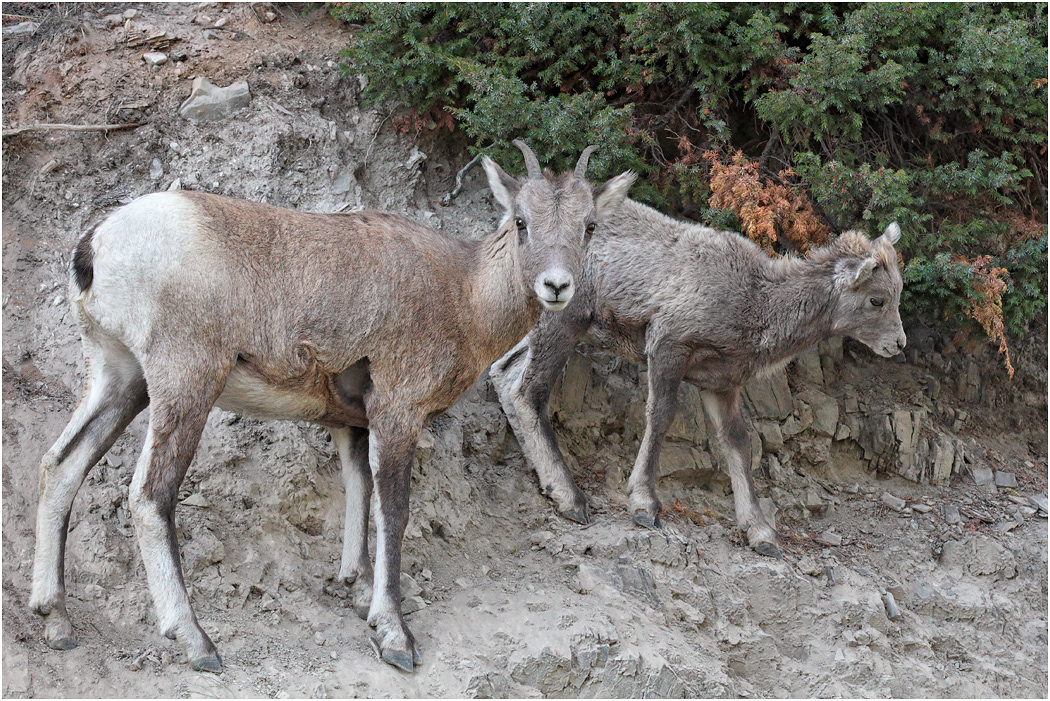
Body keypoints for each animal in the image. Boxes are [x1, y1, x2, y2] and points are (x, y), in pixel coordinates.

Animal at [29, 141, 636, 673]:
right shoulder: (397, 411)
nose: (556, 286)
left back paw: (55, 620)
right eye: (521, 221)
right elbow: (393, 511)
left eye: (589, 226)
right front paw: (394, 636)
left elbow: (358, 494)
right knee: (149, 495)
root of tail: (95, 246)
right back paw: (197, 643)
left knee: (61, 465)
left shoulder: (352, 422)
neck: (465, 296)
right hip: (186, 384)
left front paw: (357, 590)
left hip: (121, 381)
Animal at [490, 196, 906, 559]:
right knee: (529, 391)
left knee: (505, 373)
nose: (898, 344)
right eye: (877, 300)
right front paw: (644, 506)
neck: (756, 304)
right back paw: (570, 498)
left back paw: (542, 478)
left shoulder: (721, 384)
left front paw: (761, 534)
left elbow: (739, 445)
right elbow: (660, 418)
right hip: (564, 320)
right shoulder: (668, 346)